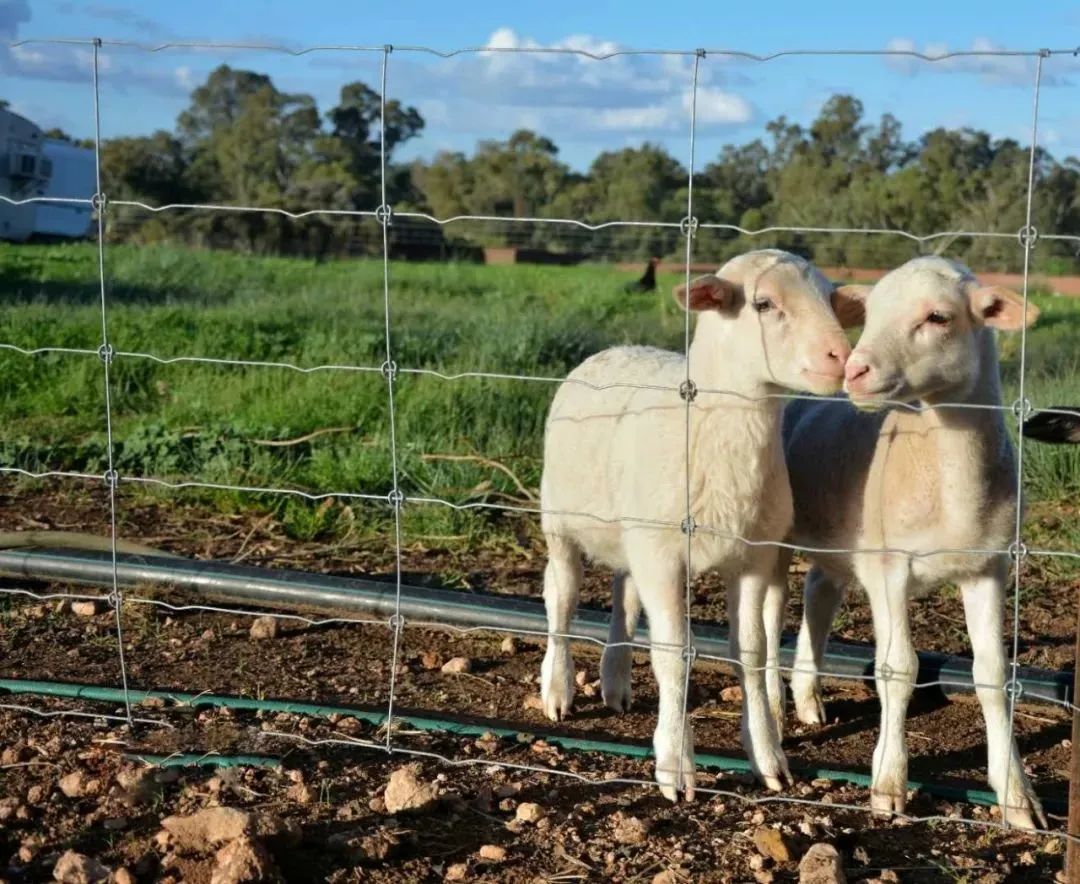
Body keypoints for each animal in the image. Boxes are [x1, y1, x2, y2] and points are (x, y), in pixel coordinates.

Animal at [540, 249, 868, 803]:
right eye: (763, 303)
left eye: (828, 298)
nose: (841, 358)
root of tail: (617, 347)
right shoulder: (663, 558)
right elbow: (673, 654)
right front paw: (676, 765)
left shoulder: (752, 556)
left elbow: (753, 653)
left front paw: (767, 758)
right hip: (560, 520)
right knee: (561, 597)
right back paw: (558, 688)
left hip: (635, 534)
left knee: (624, 596)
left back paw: (615, 682)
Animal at [760, 255, 1045, 828]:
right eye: (869, 315)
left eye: (938, 317)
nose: (855, 370)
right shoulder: (890, 568)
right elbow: (898, 670)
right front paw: (889, 785)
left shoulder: (987, 568)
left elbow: (992, 674)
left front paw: (1016, 796)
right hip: (783, 538)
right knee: (772, 612)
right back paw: (777, 706)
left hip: (840, 542)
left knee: (819, 594)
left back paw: (808, 697)